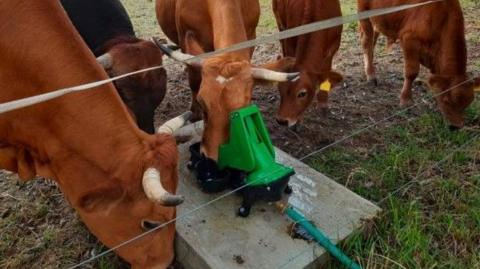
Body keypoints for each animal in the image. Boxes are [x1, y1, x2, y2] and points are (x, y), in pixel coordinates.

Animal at [156, 0, 298, 159]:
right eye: (202, 103)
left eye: (243, 109)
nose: (210, 157)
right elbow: (194, 82)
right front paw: (195, 115)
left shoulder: (251, 36)